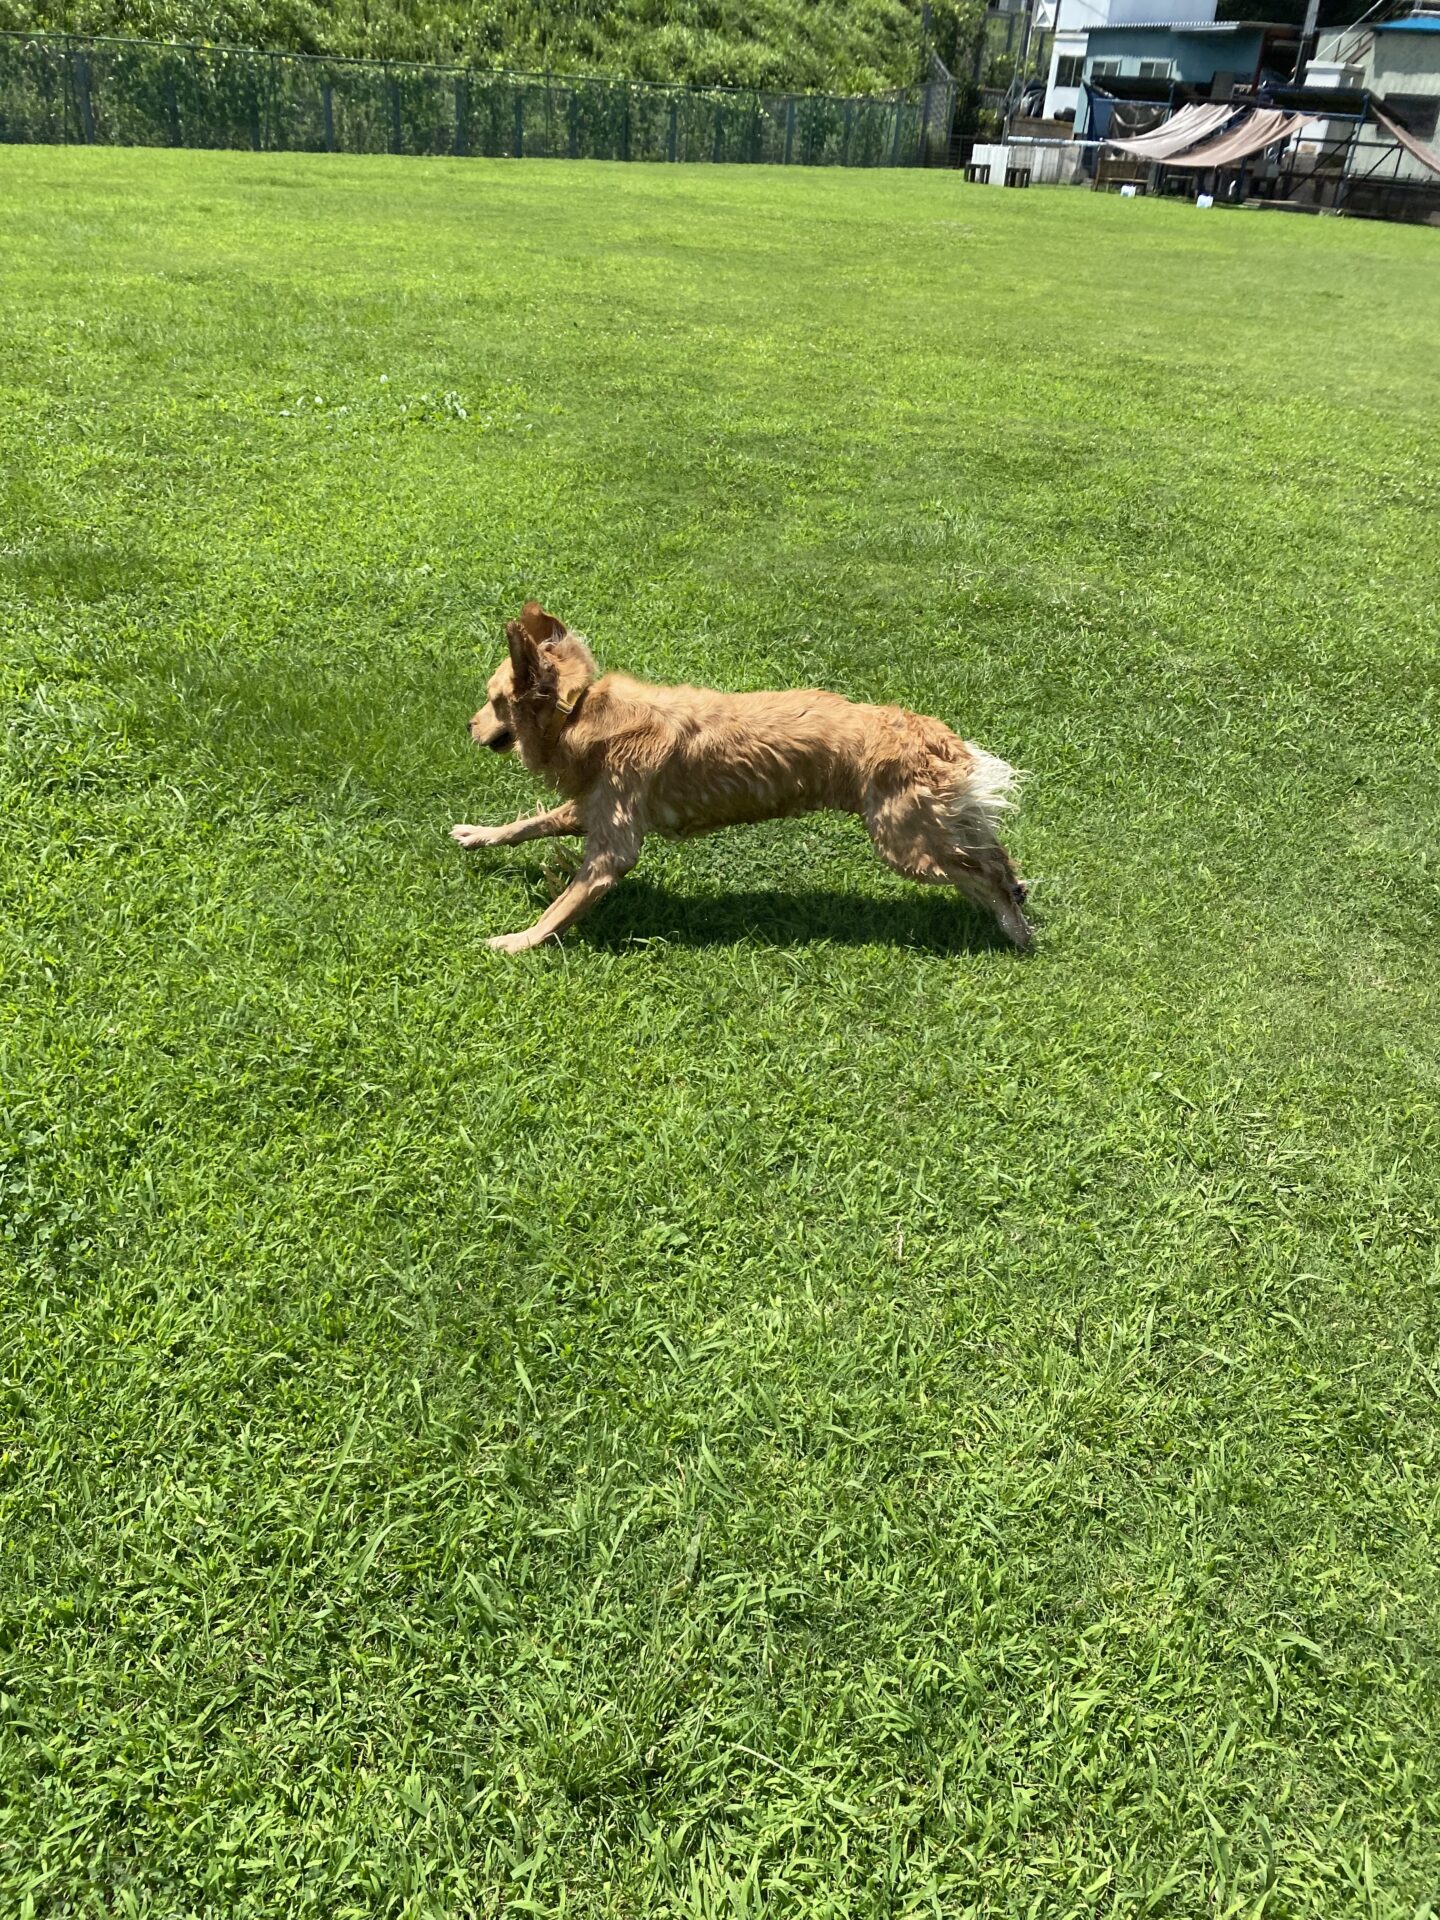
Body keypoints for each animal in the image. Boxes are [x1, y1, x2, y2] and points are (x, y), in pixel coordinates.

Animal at [453, 603, 1032, 954]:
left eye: (493, 700)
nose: (467, 725)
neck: (579, 714)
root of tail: (936, 733)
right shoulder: (595, 804)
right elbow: (530, 825)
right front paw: (479, 835)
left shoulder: (612, 845)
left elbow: (561, 905)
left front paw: (517, 942)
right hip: (928, 826)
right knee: (993, 854)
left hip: (904, 842)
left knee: (987, 874)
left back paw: (1017, 930)